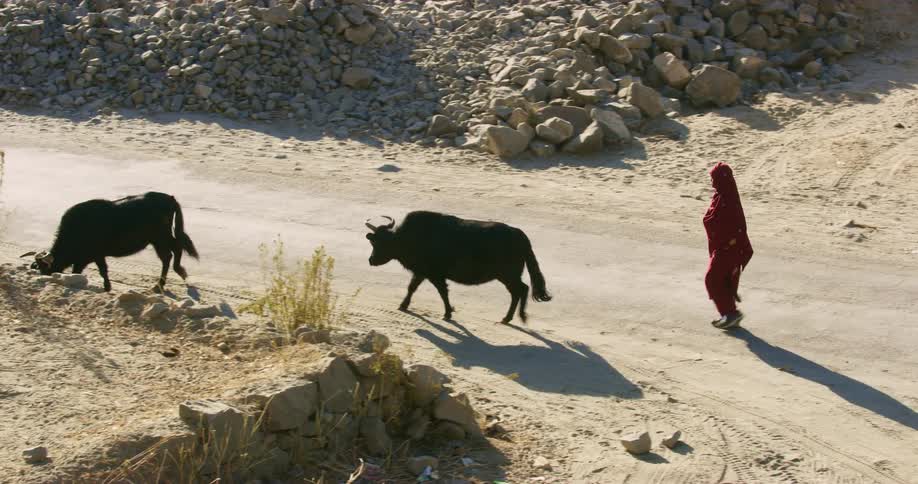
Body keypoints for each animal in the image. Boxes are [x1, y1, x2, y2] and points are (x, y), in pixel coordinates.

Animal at [20, 192, 198, 293]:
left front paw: (107, 287)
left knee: (171, 253)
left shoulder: (95, 255)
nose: (44, 279)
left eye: (46, 268)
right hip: (158, 239)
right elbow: (89, 270)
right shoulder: (86, 258)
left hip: (160, 237)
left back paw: (163, 283)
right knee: (173, 251)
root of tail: (170, 199)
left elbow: (102, 270)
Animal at [364, 211, 552, 324]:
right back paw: (511, 317)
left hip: (507, 275)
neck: (407, 238)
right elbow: (412, 288)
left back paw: (514, 317)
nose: (371, 260)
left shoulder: (434, 274)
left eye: (380, 243)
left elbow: (442, 292)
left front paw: (447, 313)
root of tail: (519, 234)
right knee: (520, 290)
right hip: (507, 276)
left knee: (521, 290)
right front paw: (403, 305)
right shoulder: (422, 272)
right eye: (374, 241)